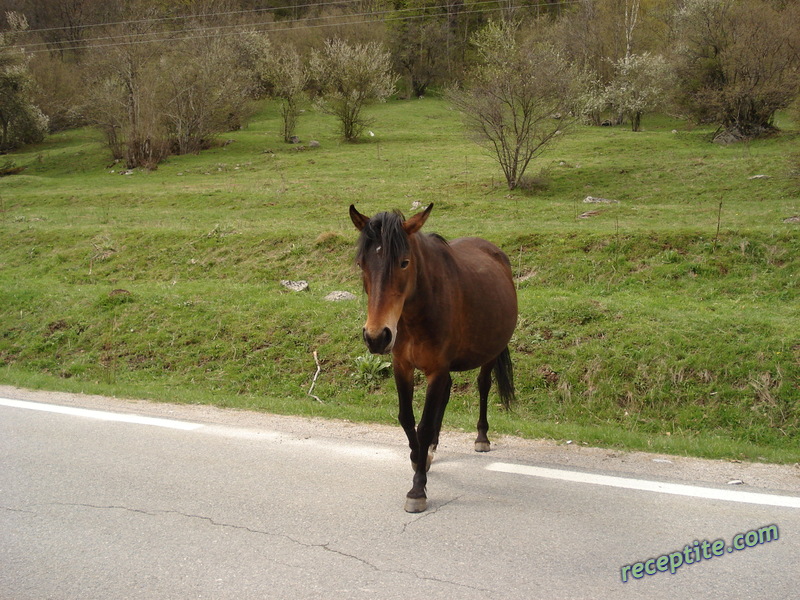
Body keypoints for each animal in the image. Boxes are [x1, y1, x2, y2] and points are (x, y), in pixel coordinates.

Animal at [350, 204, 520, 512]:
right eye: (362, 264)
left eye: (404, 263)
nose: (376, 337)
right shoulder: (402, 366)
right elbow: (407, 418)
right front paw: (418, 457)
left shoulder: (437, 369)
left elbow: (425, 424)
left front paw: (417, 489)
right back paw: (430, 450)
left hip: (488, 354)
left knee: (483, 386)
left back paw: (482, 437)